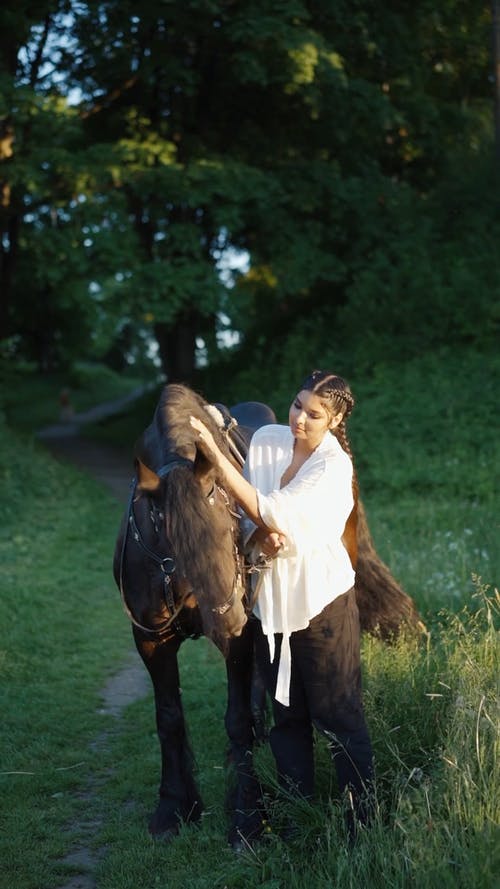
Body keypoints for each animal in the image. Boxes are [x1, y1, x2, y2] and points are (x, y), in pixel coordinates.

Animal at [113, 380, 422, 848]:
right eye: (170, 544)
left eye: (228, 526)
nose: (228, 620)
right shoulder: (150, 638)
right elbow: (168, 717)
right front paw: (173, 806)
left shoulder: (239, 641)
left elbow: (237, 719)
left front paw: (246, 816)